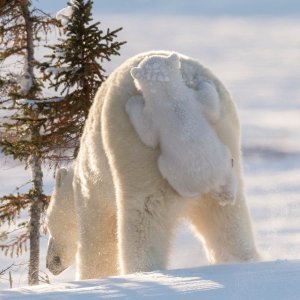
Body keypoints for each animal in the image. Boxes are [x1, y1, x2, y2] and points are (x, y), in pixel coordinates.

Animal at [126, 54, 237, 204]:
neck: (170, 98)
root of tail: (210, 183)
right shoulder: (191, 101)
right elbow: (211, 109)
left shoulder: (157, 113)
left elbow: (149, 137)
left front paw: (132, 101)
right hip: (220, 162)